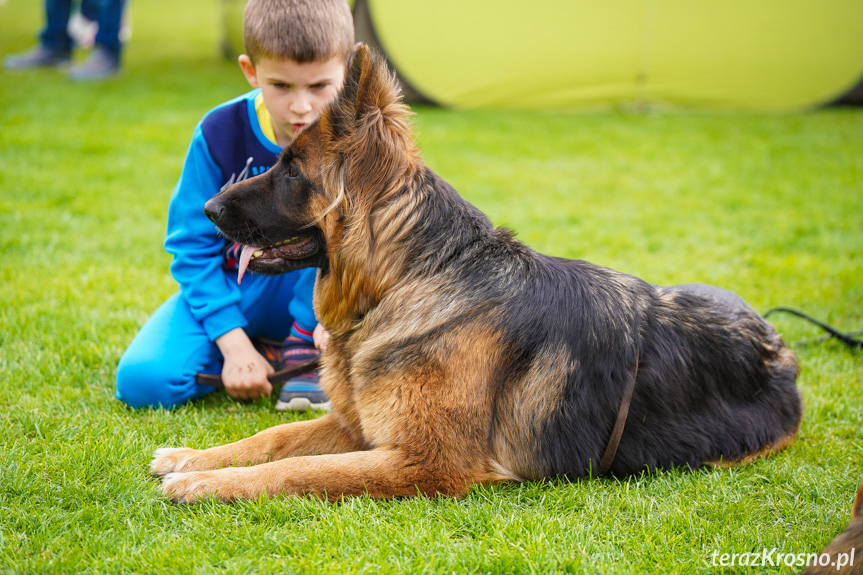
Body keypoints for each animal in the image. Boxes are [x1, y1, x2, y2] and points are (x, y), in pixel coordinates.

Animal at [148, 45, 804, 504]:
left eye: (289, 170)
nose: (207, 208)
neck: (411, 279)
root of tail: (779, 344)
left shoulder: (424, 461)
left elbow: (298, 470)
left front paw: (207, 485)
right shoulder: (360, 427)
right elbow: (273, 441)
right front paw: (194, 457)